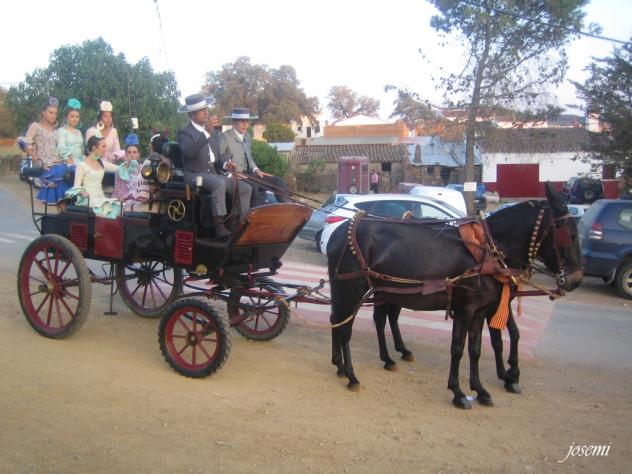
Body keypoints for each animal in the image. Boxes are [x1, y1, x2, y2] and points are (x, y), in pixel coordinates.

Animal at [326, 183, 582, 409]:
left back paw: (353, 364)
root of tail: (338, 233)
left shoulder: (483, 309)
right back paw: (351, 375)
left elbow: (478, 348)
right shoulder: (465, 309)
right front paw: (459, 392)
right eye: (568, 234)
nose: (576, 279)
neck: (486, 252)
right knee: (345, 327)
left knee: (352, 320)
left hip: (378, 290)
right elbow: (459, 348)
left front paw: (481, 389)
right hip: (352, 289)